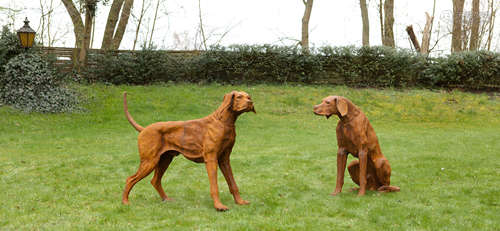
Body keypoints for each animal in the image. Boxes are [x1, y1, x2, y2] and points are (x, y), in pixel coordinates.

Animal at [120, 91, 254, 210]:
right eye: (239, 97)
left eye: (248, 97)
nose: (250, 102)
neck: (224, 122)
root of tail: (144, 129)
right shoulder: (211, 159)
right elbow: (214, 186)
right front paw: (219, 206)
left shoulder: (224, 160)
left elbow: (233, 183)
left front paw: (240, 202)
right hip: (150, 161)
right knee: (130, 179)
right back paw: (125, 202)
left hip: (164, 160)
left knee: (155, 181)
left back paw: (166, 199)